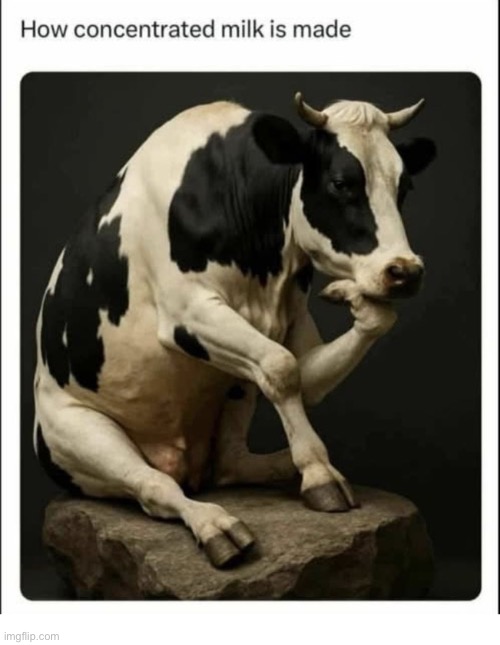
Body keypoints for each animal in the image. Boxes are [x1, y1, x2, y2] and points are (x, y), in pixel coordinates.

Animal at [34, 92, 436, 568]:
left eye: (404, 186)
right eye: (341, 183)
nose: (405, 271)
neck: (264, 261)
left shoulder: (289, 315)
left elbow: (315, 370)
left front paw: (352, 297)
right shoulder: (186, 313)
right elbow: (281, 367)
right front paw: (319, 472)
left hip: (232, 392)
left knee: (229, 464)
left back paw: (280, 465)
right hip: (78, 433)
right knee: (153, 487)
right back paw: (217, 526)